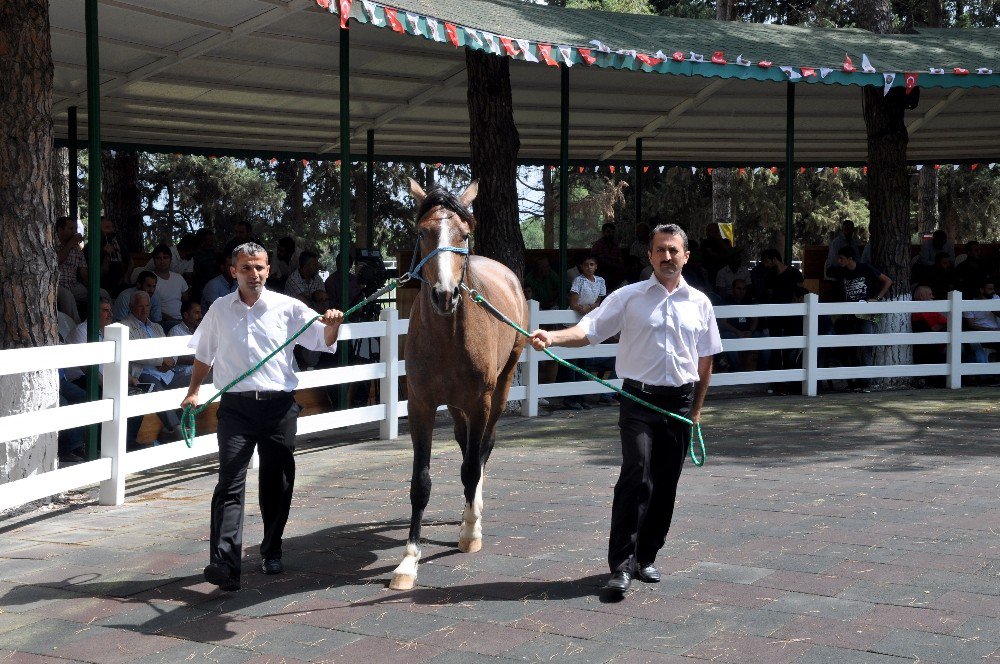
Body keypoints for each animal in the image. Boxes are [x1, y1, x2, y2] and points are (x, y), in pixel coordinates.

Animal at [388, 179, 532, 588]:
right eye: (422, 233)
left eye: (464, 235)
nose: (445, 294)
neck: (447, 337)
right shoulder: (421, 405)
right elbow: (420, 482)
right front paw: (408, 561)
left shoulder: (480, 401)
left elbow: (472, 465)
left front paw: (470, 532)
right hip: (454, 407)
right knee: (468, 445)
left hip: (498, 392)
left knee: (481, 451)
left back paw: (474, 514)